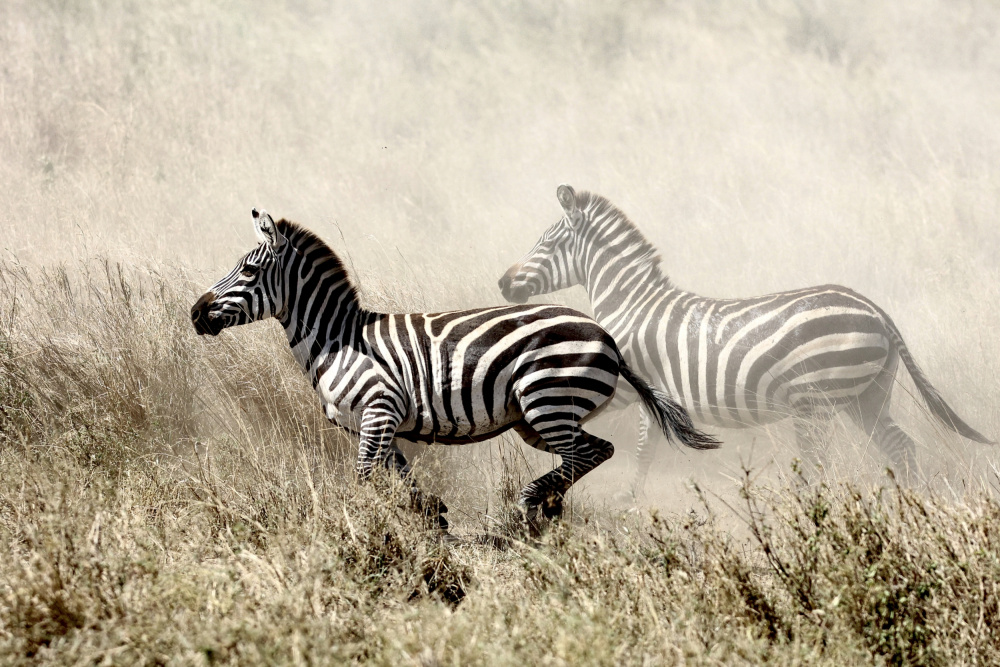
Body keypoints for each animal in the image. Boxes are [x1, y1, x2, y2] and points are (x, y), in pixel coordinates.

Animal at [191, 209, 718, 529]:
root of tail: (606, 335)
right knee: (594, 451)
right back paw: (545, 507)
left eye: (249, 272)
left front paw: (360, 527)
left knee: (585, 454)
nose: (196, 313)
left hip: (546, 400)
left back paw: (532, 504)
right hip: (537, 419)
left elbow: (363, 479)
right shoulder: (381, 424)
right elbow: (402, 479)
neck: (337, 340)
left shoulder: (378, 411)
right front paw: (431, 517)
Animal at [499, 185, 993, 493]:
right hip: (867, 397)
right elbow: (643, 451)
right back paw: (909, 509)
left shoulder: (629, 385)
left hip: (816, 403)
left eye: (545, 244)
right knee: (901, 448)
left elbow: (637, 449)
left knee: (822, 463)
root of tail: (876, 310)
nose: (503, 284)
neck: (632, 303)